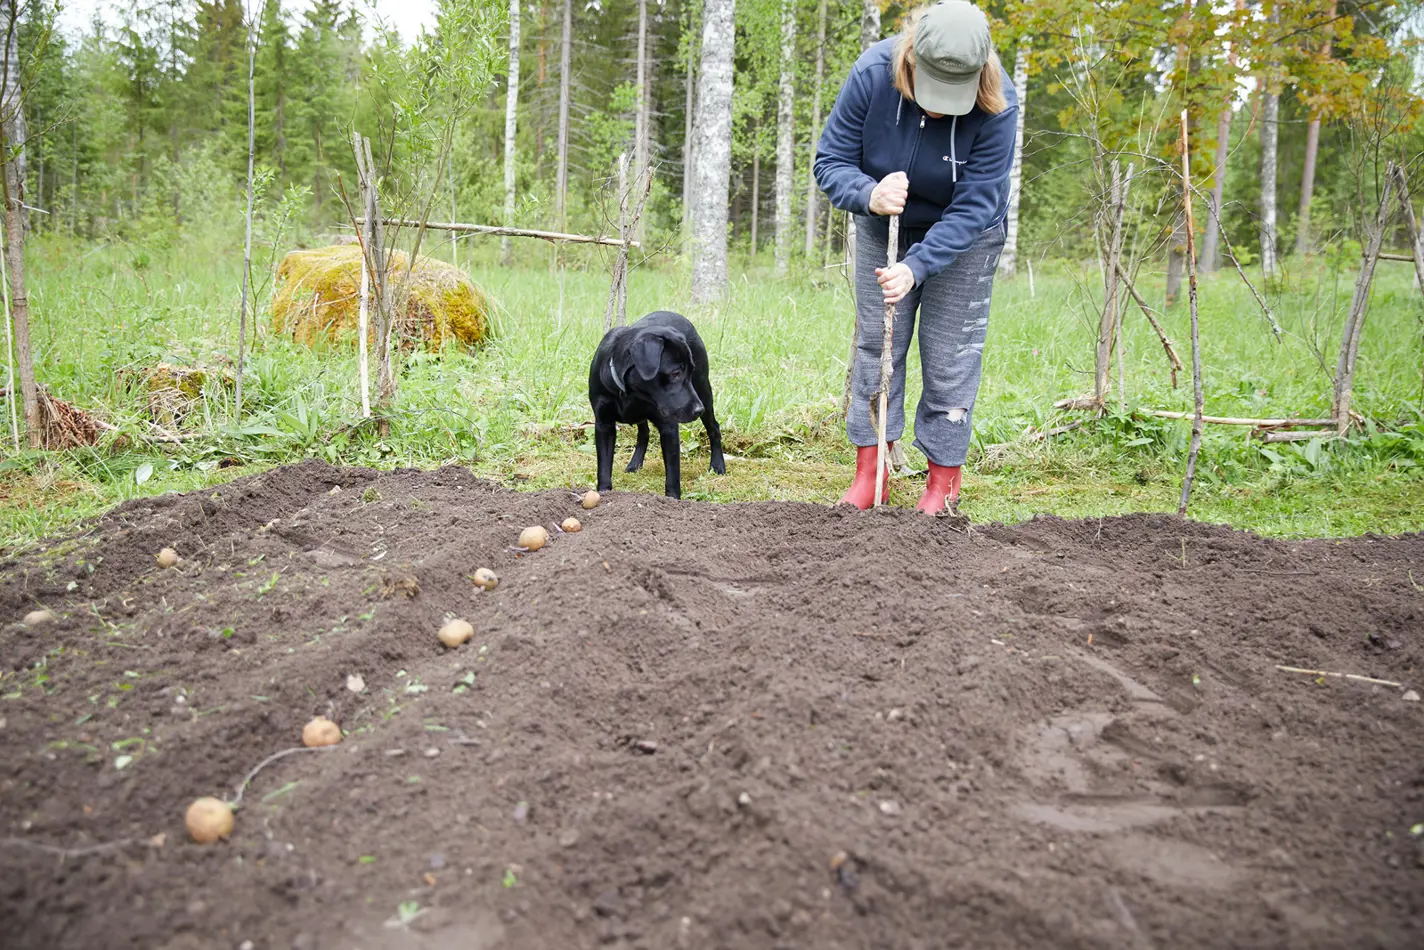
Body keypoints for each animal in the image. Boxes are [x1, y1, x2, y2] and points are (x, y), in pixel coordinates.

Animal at [586, 311, 723, 501]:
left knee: (714, 428)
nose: (698, 409)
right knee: (644, 433)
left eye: (690, 371)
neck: (631, 392)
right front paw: (605, 493)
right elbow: (604, 467)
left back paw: (718, 465)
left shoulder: (669, 426)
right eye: (675, 373)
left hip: (703, 390)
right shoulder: (603, 424)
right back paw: (635, 463)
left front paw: (672, 499)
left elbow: (673, 473)